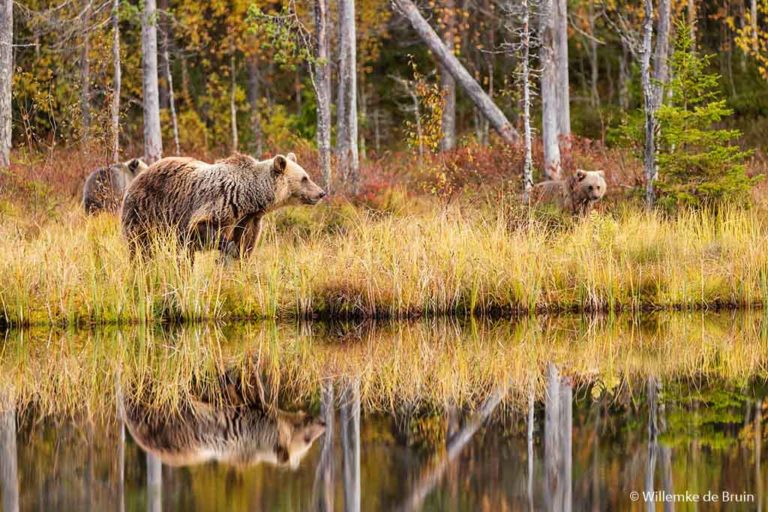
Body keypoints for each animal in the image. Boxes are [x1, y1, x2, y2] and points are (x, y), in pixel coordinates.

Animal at [121, 150, 326, 258]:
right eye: (305, 178)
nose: (321, 193)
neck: (250, 197)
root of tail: (137, 178)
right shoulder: (220, 204)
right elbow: (202, 228)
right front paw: (229, 248)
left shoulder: (248, 219)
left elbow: (246, 242)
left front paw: (241, 257)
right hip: (145, 212)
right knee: (140, 248)